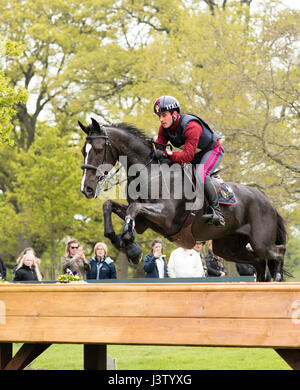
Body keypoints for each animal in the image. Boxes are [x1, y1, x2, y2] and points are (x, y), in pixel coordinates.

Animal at [79, 117, 286, 282]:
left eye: (98, 149)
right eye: (83, 151)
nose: (86, 189)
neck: (149, 172)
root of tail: (268, 202)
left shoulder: (167, 217)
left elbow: (134, 208)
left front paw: (130, 244)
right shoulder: (145, 222)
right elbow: (109, 205)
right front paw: (125, 245)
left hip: (260, 242)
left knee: (278, 252)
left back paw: (277, 277)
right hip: (227, 247)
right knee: (258, 262)